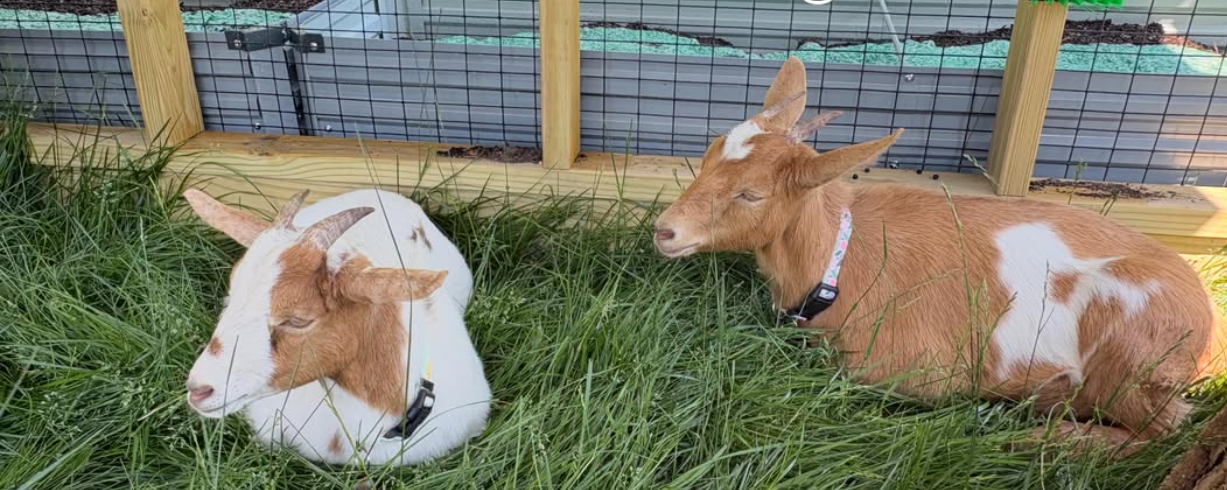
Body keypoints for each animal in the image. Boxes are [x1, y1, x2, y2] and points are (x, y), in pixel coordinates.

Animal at [653, 57, 1226, 455]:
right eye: (708, 154)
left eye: (751, 194)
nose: (664, 230)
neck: (837, 257)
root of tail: (1208, 328)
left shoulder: (912, 373)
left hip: (1130, 358)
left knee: (1164, 430)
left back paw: (1034, 435)